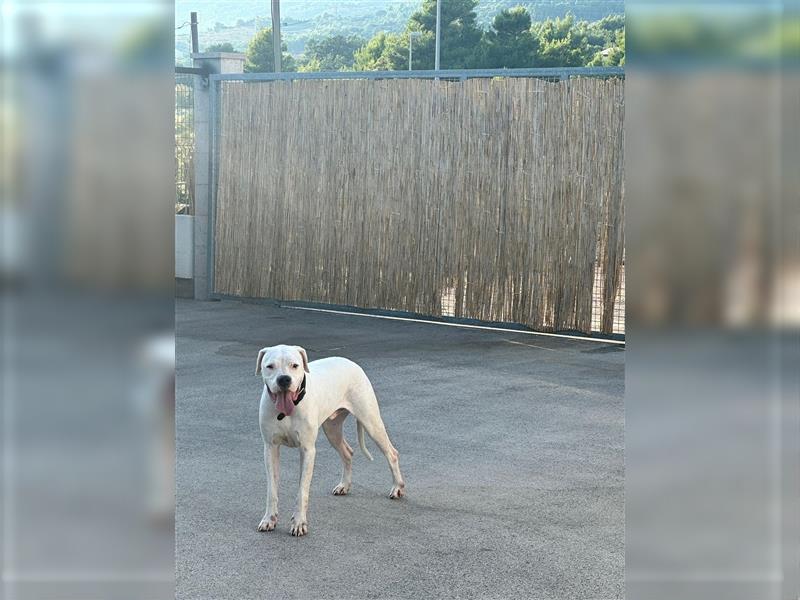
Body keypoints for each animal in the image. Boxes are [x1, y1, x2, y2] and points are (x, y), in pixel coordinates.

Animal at [256, 344, 406, 536]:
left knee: (391, 453)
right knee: (348, 453)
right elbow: (272, 489)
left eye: (295, 365)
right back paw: (344, 485)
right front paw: (269, 519)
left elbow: (302, 490)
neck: (288, 410)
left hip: (371, 421)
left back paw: (397, 487)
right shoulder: (270, 448)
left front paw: (299, 522)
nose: (284, 379)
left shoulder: (307, 450)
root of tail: (350, 362)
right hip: (332, 429)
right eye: (270, 366)